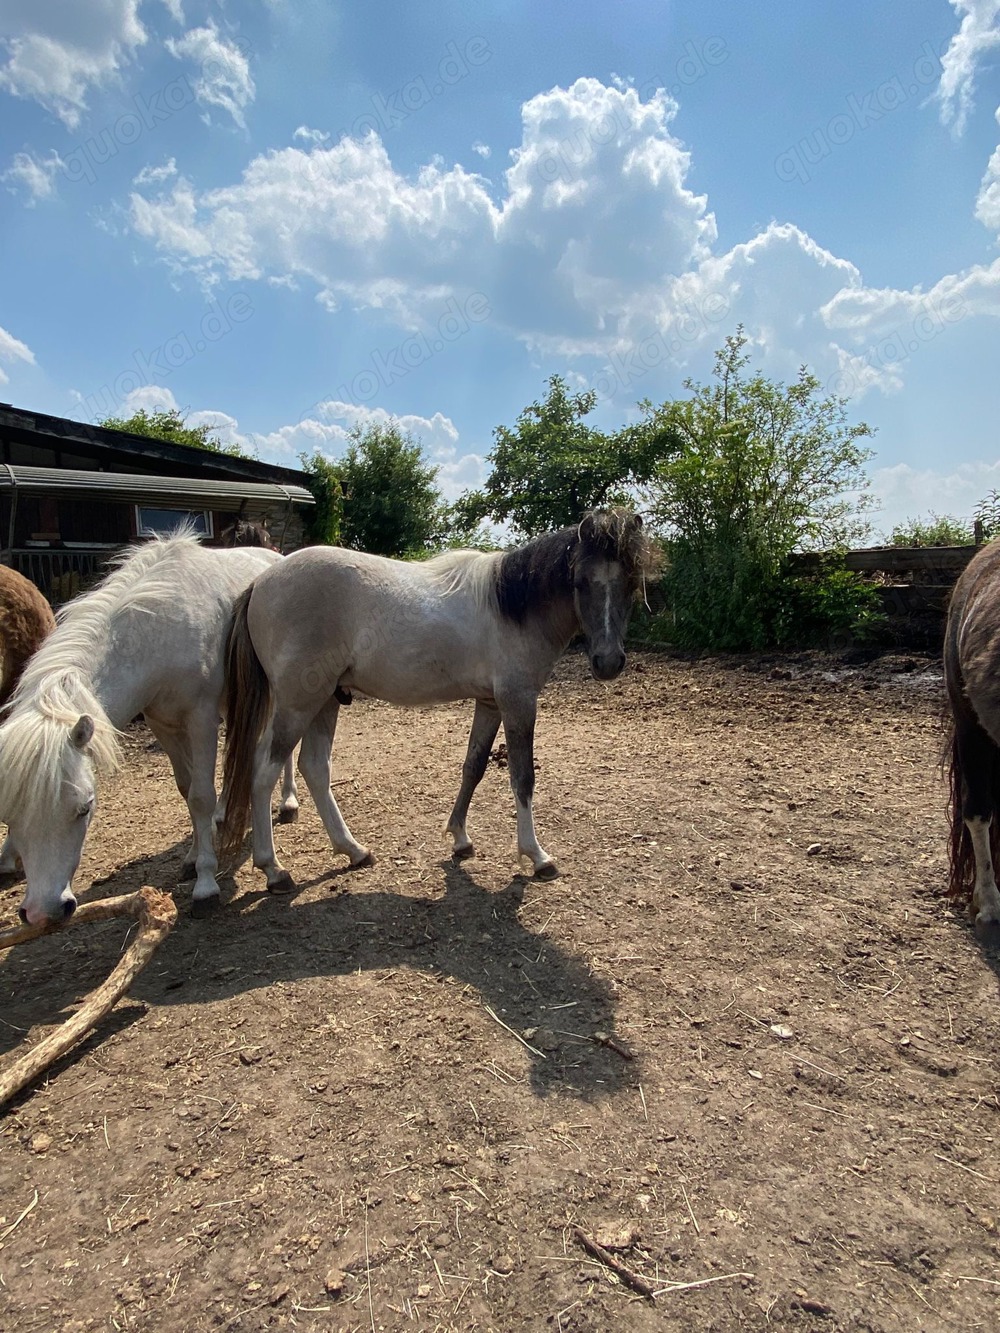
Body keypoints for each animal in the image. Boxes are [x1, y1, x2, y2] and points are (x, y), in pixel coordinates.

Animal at [0, 532, 299, 925]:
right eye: (9, 814)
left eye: (84, 808)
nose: (42, 913)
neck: (159, 630)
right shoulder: (163, 725)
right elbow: (188, 789)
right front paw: (194, 855)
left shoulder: (200, 718)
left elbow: (200, 795)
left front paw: (206, 885)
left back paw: (288, 802)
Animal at [218, 508, 660, 893]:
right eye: (581, 581)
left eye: (630, 582)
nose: (608, 662)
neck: (510, 605)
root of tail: (260, 583)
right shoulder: (517, 702)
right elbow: (522, 777)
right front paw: (536, 856)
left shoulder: (490, 703)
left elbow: (474, 766)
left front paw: (460, 838)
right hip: (298, 704)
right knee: (263, 771)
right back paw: (274, 870)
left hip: (324, 700)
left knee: (314, 768)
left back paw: (354, 850)